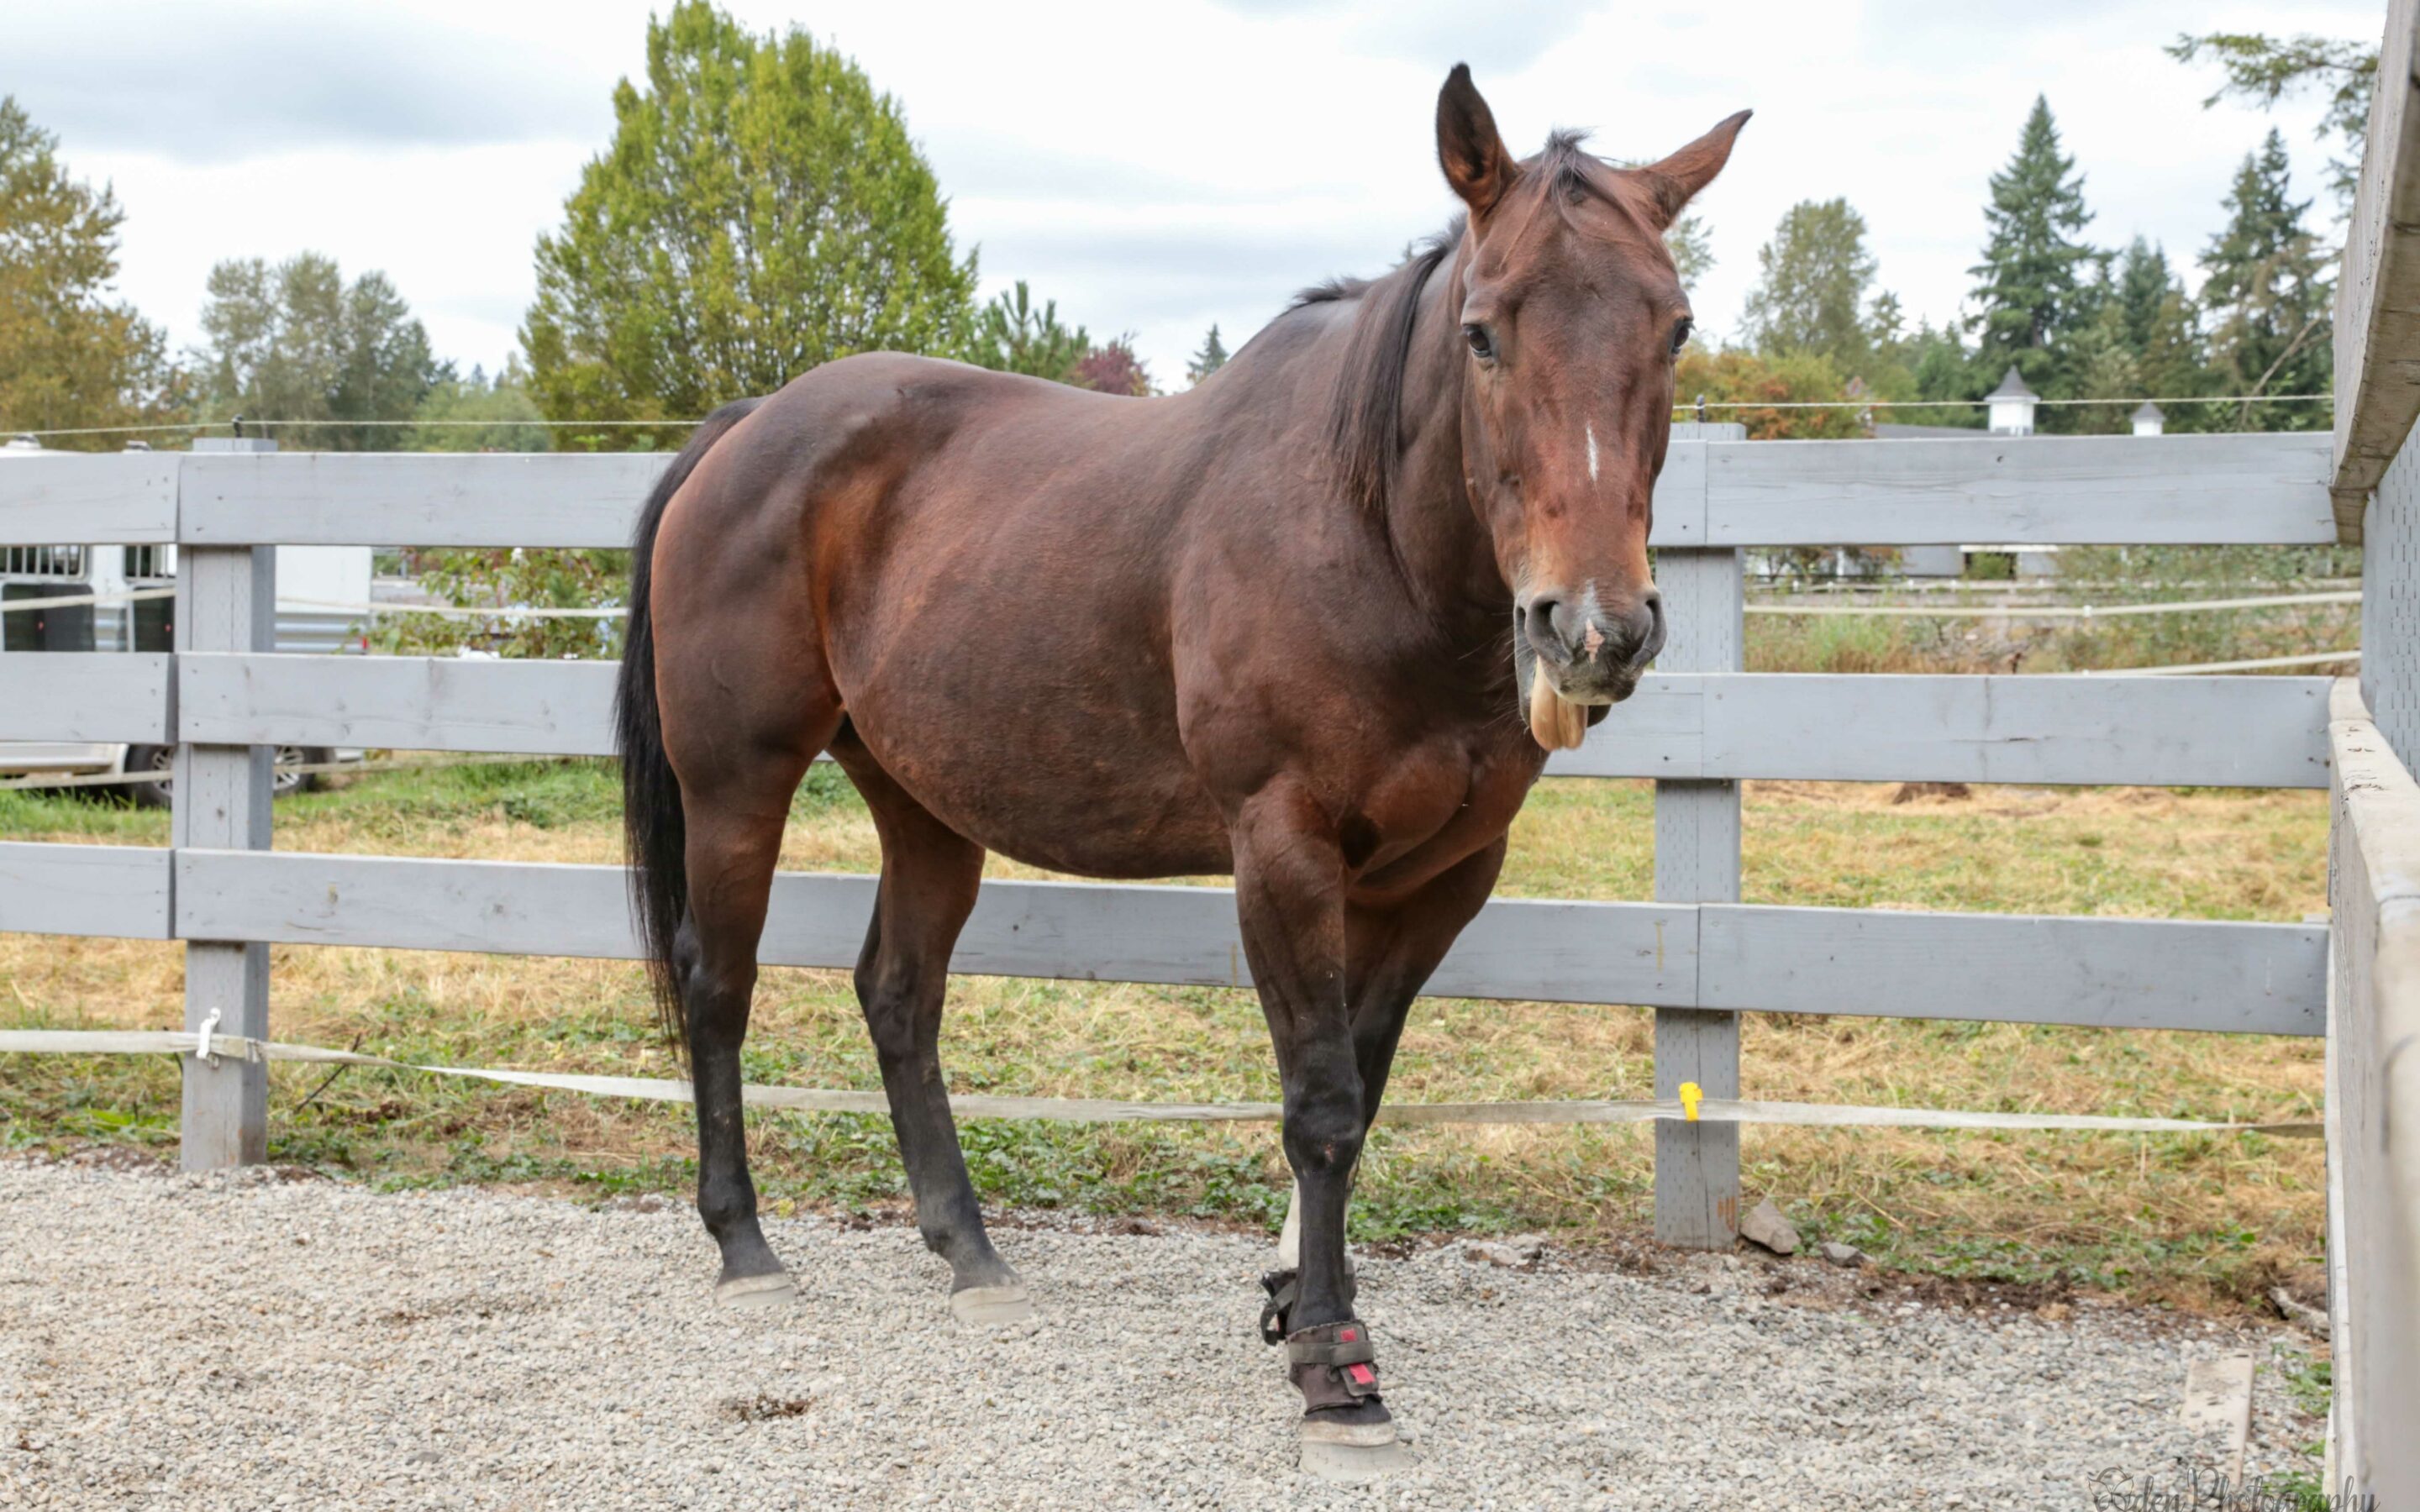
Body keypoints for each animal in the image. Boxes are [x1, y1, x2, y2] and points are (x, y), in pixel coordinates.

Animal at [614, 65, 1752, 1471]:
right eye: (1485, 332)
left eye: (1675, 328)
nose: (1595, 628)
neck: (1368, 539)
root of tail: (744, 428)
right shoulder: (1282, 849)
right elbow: (1320, 1101)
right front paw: (1332, 1366)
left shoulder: (1440, 878)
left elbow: (1363, 1090)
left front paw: (1297, 1296)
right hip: (738, 784)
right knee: (719, 985)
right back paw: (745, 1243)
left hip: (925, 801)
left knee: (899, 997)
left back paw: (970, 1253)